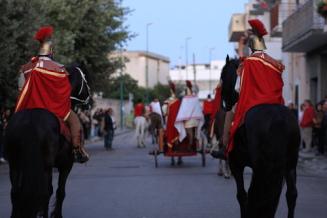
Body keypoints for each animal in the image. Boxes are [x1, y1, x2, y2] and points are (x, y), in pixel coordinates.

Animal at [4, 63, 91, 217]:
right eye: (85, 79)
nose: (89, 100)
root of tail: (30, 120)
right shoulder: (66, 165)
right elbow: (59, 191)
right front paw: (56, 214)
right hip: (46, 165)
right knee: (45, 192)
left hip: (15, 163)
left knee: (15, 192)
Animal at [222, 56, 302, 218]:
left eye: (223, 76)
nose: (225, 104)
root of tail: (279, 119)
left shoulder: (236, 163)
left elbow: (242, 195)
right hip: (290, 163)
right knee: (291, 195)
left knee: (255, 194)